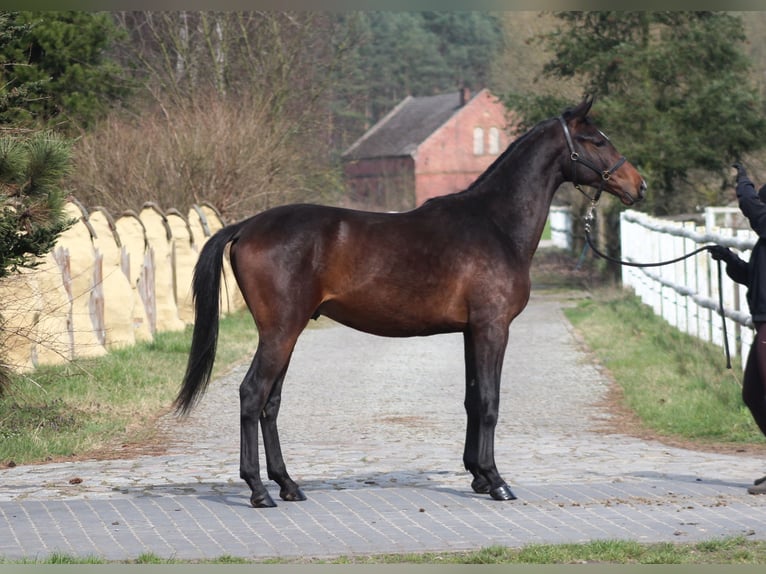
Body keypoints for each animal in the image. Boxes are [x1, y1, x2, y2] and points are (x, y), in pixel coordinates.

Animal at [174, 98, 648, 508]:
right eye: (597, 140)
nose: (638, 185)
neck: (494, 224)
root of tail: (247, 226)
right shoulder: (493, 327)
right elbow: (490, 401)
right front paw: (497, 482)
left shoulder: (471, 332)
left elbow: (472, 399)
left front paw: (477, 476)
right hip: (280, 331)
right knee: (253, 394)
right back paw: (258, 490)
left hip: (286, 332)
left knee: (270, 403)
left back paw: (288, 485)